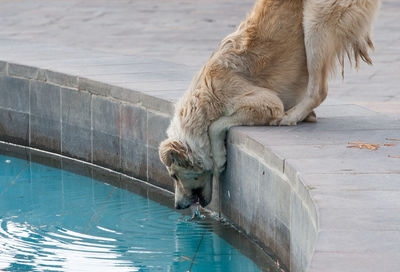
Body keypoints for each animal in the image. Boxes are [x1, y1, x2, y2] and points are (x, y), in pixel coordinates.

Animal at [158, 0, 380, 209]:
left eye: (174, 175)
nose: (177, 206)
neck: (202, 100)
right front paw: (309, 116)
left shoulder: (263, 101)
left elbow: (216, 125)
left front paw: (219, 158)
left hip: (315, 20)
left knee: (319, 90)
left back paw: (290, 117)